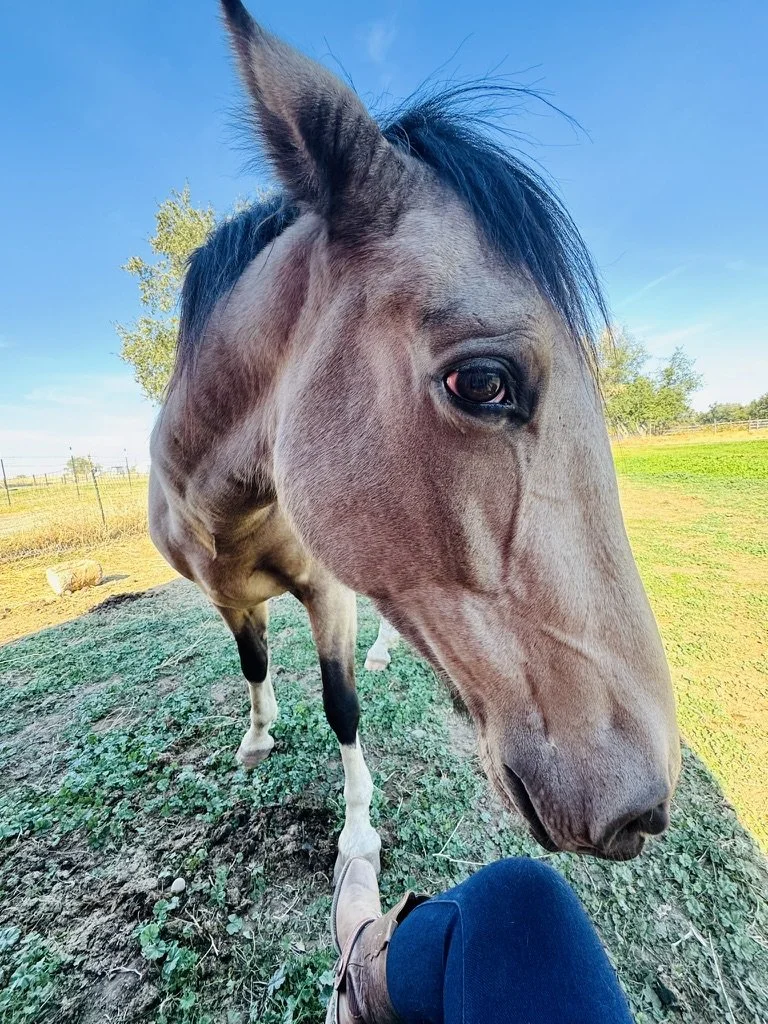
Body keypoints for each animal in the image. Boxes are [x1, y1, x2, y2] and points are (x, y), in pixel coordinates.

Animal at [149, 0, 680, 878]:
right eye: (484, 382)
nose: (645, 806)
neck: (225, 502)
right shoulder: (228, 599)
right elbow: (254, 665)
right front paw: (257, 737)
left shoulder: (329, 589)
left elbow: (341, 705)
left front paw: (358, 831)